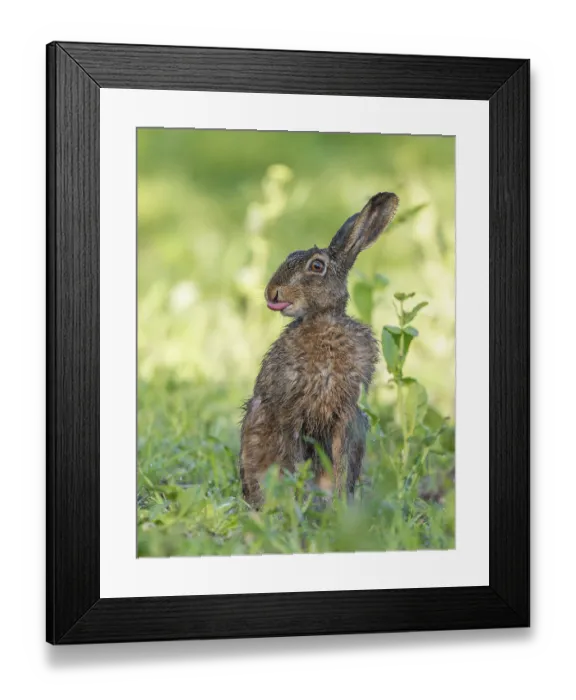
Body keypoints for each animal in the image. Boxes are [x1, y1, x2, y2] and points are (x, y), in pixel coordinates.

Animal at [239, 191, 399, 508]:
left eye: (316, 266)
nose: (272, 291)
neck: (323, 321)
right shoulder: (290, 412)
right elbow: (292, 461)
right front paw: (296, 504)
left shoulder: (346, 415)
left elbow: (340, 464)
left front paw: (339, 506)